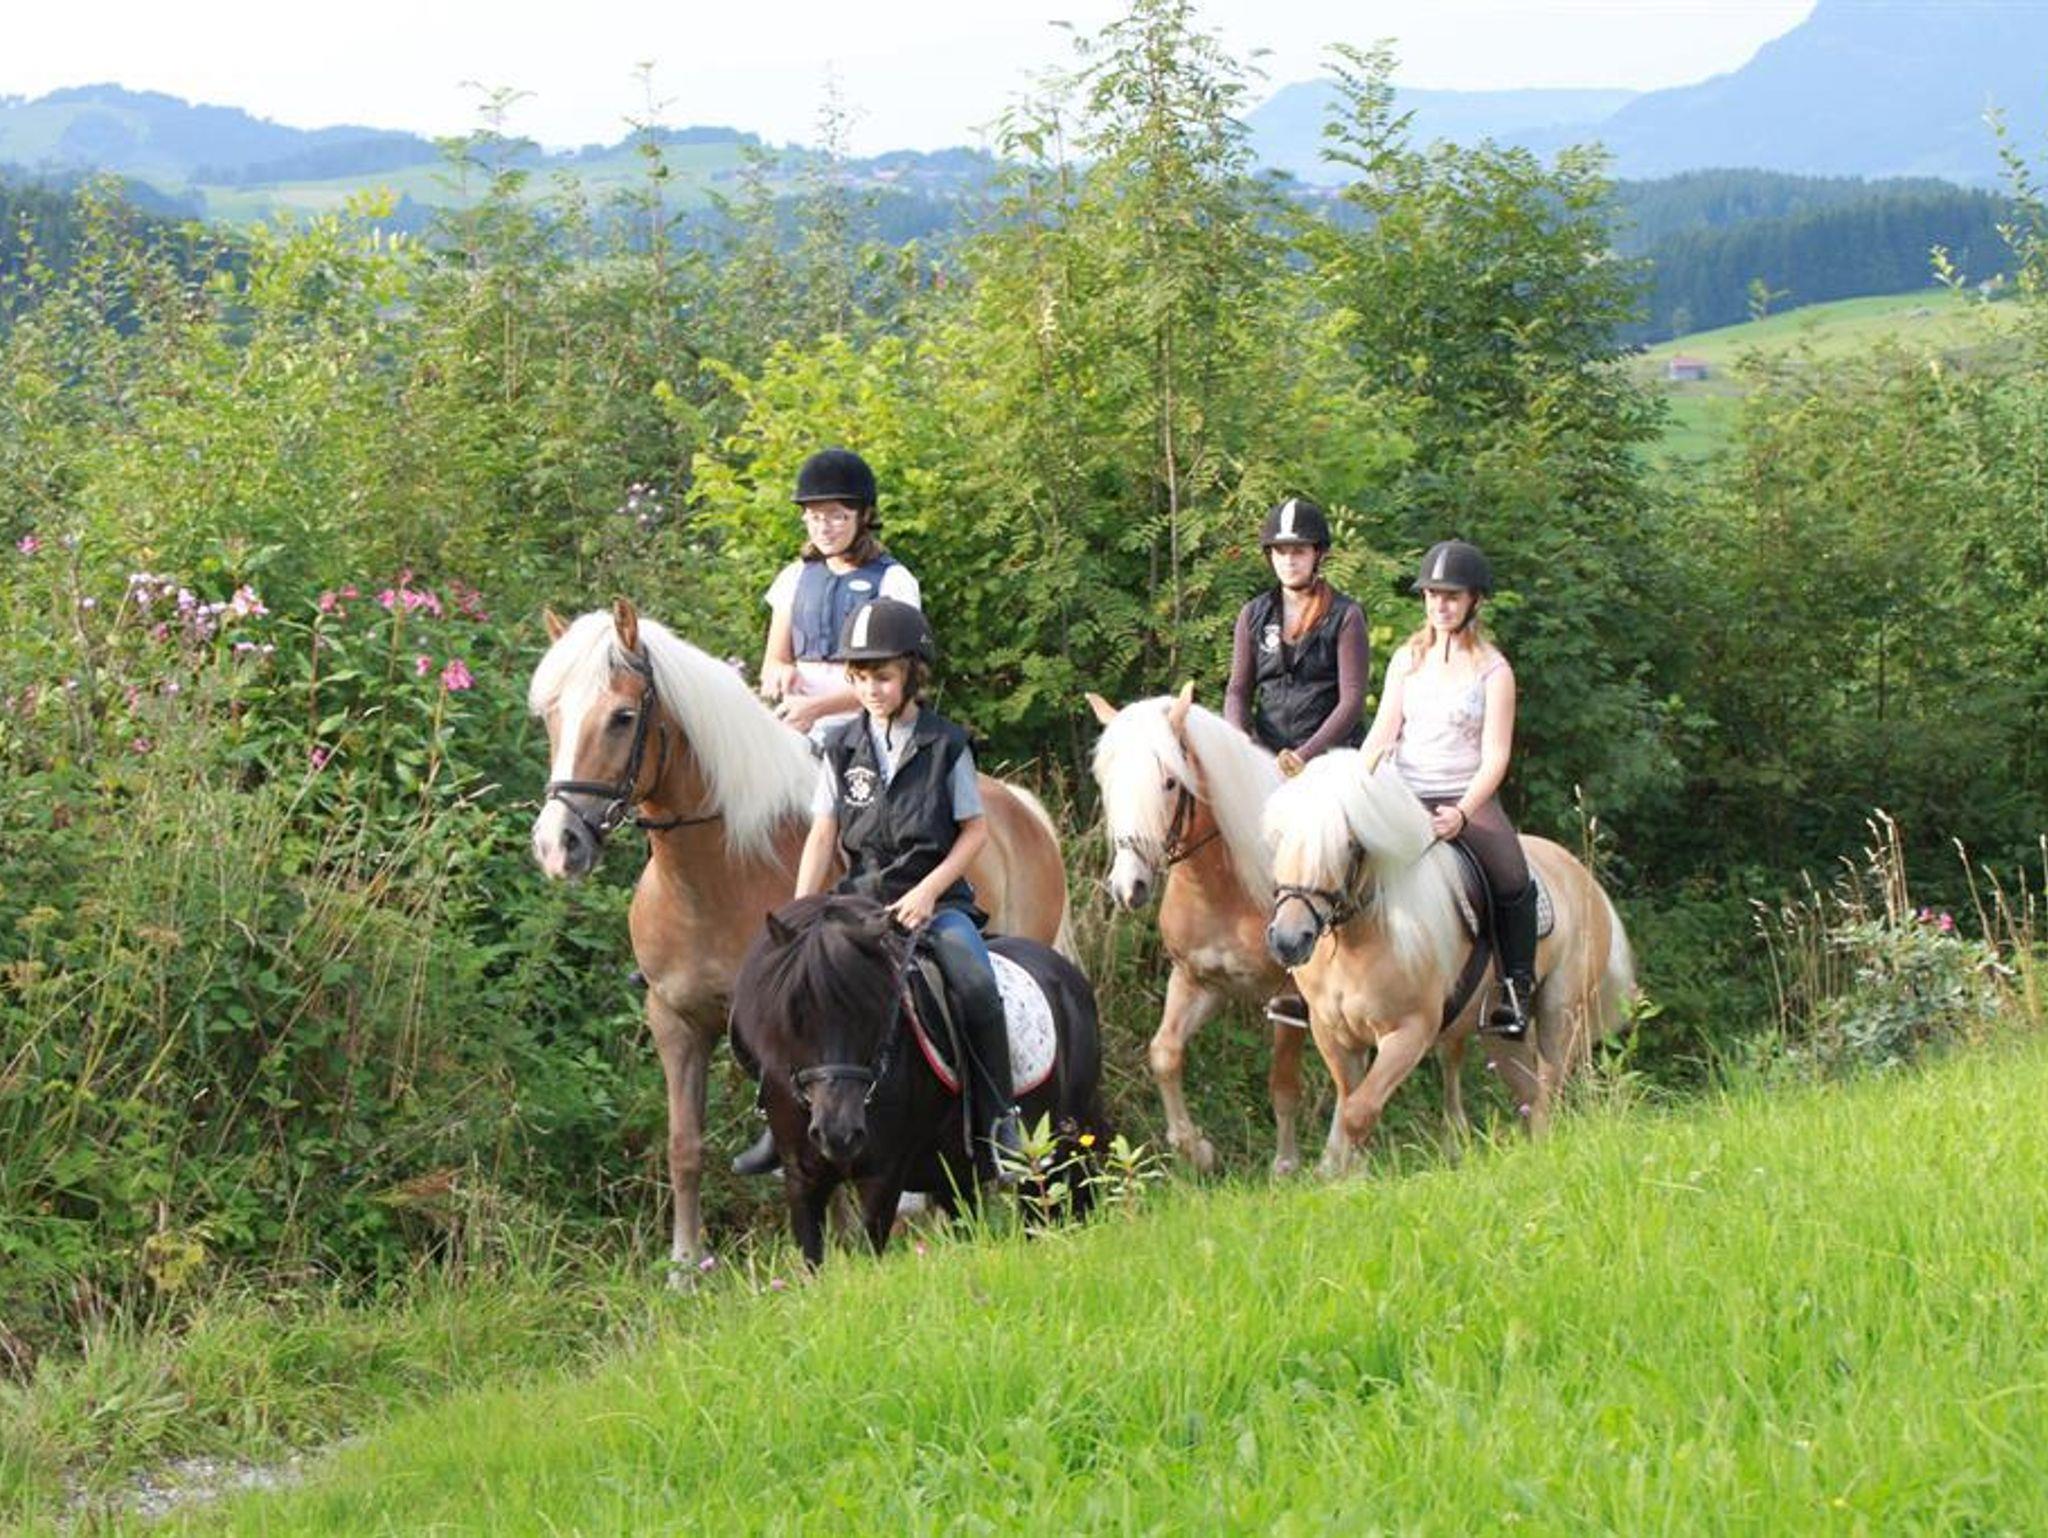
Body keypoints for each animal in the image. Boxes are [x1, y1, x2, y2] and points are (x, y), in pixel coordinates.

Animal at [728, 892, 1108, 1267]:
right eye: (795, 1015)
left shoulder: (883, 1174)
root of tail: (1068, 975)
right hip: (956, 1177)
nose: (839, 1134)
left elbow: (867, 1254)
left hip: (1051, 1154)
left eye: (872, 1013)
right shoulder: (801, 1177)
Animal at [1086, 685, 1313, 1176]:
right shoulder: (1199, 982)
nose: (1128, 888)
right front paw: (1194, 1148)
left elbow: (1284, 1084)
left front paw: (1285, 1165)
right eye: (1108, 781)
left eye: (1171, 782)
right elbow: (1164, 1054)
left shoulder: (1288, 998)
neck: (1225, 888)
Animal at [1263, 750, 1636, 1176]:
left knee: (1549, 1089)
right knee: (1529, 1090)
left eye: (1350, 845)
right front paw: (1343, 1174)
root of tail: (1582, 875)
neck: (1360, 941)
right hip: (1498, 1034)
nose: (1288, 940)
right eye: (1281, 836)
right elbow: (1349, 1108)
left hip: (1561, 1015)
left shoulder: (1409, 1032)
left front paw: (1350, 1176)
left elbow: (1358, 1112)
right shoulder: (1334, 1033)